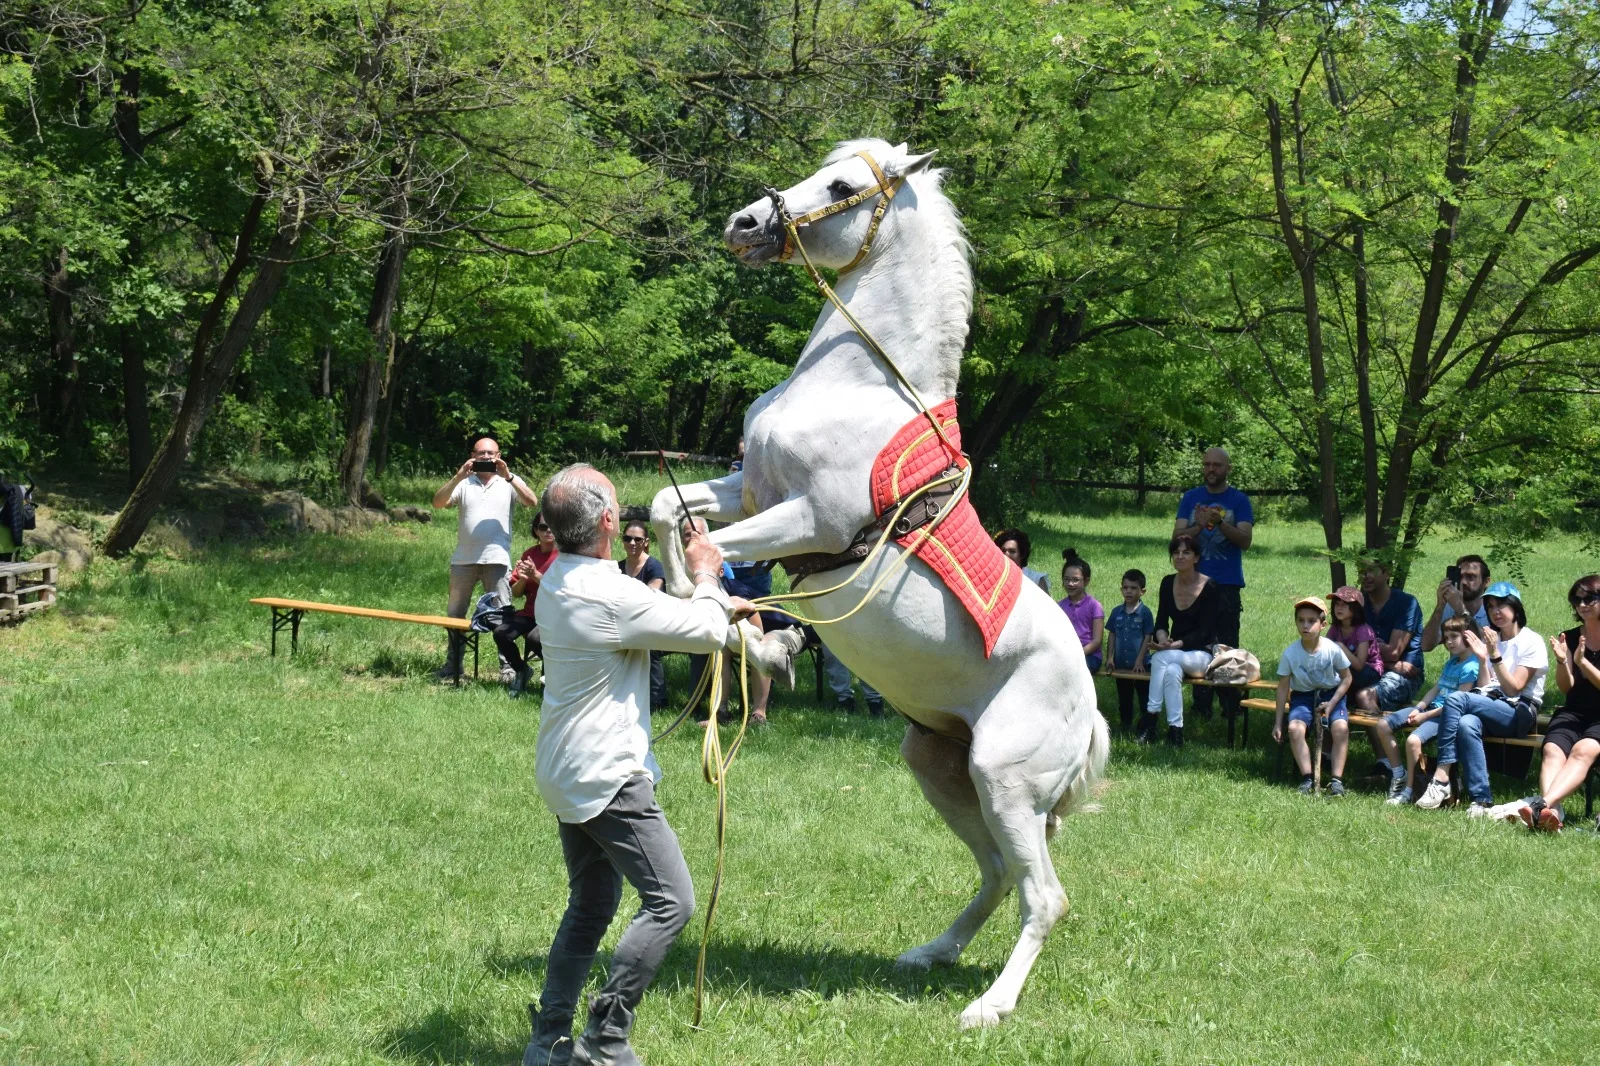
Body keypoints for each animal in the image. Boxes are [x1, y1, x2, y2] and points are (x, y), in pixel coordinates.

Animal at [643, 136, 1107, 1024]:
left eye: (841, 186)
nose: (744, 223)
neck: (857, 385)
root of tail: (1094, 708)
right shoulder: (749, 488)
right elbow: (664, 514)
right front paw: (756, 639)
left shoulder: (811, 522)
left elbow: (711, 564)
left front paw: (753, 635)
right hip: (941, 764)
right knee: (998, 875)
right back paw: (930, 955)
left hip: (1006, 779)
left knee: (1045, 896)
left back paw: (989, 1007)